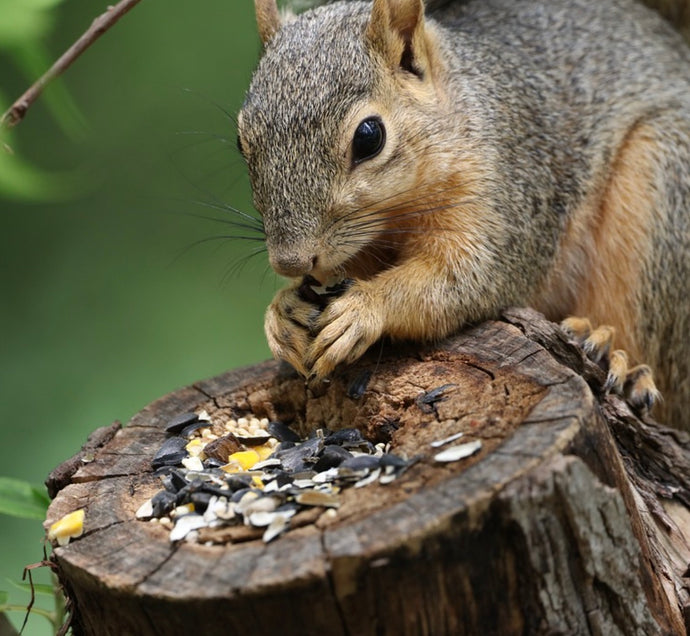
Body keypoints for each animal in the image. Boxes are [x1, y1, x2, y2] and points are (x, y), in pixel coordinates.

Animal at [238, 0, 688, 430]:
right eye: (243, 142)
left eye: (369, 137)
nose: (290, 261)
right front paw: (282, 313)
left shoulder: (507, 198)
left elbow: (462, 279)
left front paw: (364, 308)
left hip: (661, 191)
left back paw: (619, 361)